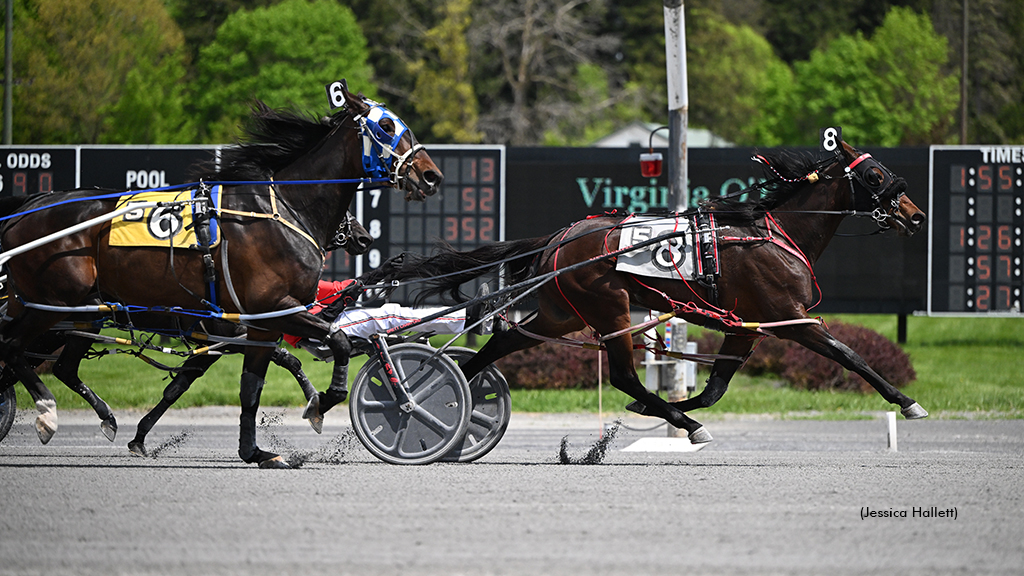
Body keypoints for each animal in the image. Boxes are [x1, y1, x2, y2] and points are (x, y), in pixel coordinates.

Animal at [0, 81, 440, 467]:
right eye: (387, 127)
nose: (431, 175)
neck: (284, 209)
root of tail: (28, 208)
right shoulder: (273, 310)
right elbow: (339, 341)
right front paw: (321, 403)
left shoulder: (261, 324)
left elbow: (250, 389)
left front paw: (257, 452)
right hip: (52, 304)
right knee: (15, 347)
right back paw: (47, 413)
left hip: (80, 311)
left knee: (53, 362)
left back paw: (102, 417)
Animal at [385, 141, 929, 440]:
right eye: (875, 174)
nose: (916, 214)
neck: (773, 232)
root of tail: (560, 237)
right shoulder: (789, 317)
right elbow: (849, 355)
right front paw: (906, 401)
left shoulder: (746, 328)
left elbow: (713, 389)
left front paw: (665, 409)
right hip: (611, 307)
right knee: (624, 374)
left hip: (563, 312)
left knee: (500, 343)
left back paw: (442, 397)